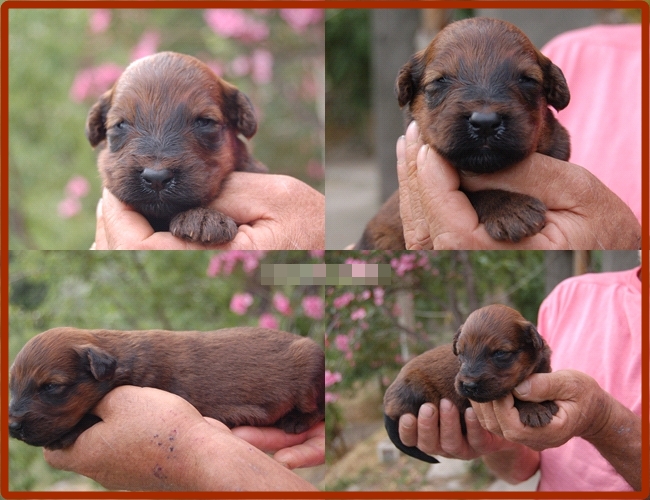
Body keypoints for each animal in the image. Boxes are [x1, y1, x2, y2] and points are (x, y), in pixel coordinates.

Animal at [8, 326, 322, 452]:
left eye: (51, 386)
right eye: (12, 386)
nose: (11, 426)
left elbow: (90, 416)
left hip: (309, 369)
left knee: (318, 410)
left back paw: (295, 420)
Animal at [380, 304, 556, 464]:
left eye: (500, 353)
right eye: (461, 352)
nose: (468, 385)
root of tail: (386, 405)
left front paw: (548, 402)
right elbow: (515, 396)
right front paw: (533, 410)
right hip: (415, 389)